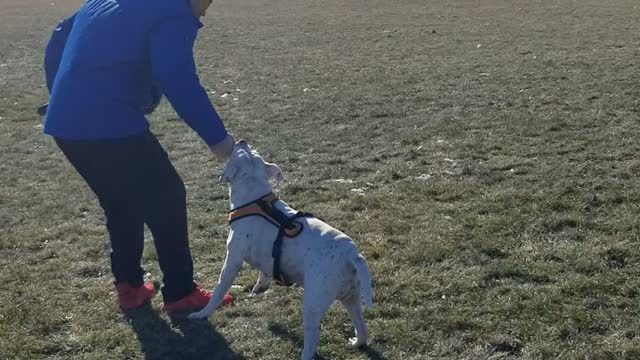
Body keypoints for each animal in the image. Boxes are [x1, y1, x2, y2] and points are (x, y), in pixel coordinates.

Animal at [188, 141, 372, 360]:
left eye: (236, 152)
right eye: (252, 150)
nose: (241, 141)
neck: (256, 198)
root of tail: (351, 254)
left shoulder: (232, 261)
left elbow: (218, 291)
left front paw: (201, 314)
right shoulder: (267, 260)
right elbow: (264, 273)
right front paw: (259, 287)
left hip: (313, 305)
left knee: (312, 341)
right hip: (351, 298)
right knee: (362, 327)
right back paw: (357, 342)